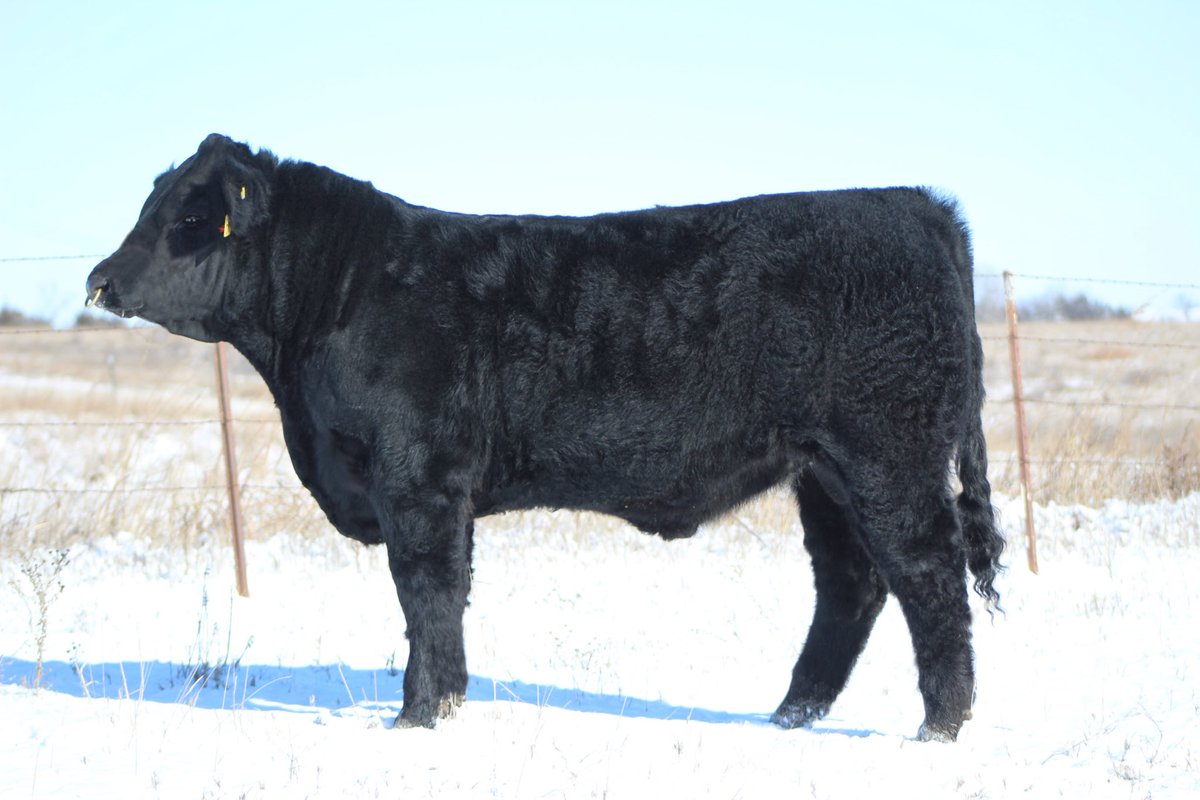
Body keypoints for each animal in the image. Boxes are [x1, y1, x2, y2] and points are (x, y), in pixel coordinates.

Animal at [86, 134, 1004, 741]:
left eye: (191, 216)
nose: (99, 279)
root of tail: (918, 204)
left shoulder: (419, 479)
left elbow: (426, 594)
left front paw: (419, 716)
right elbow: (440, 596)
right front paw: (438, 705)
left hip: (888, 457)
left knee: (929, 579)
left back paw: (939, 727)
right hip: (823, 471)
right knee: (851, 584)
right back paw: (789, 716)